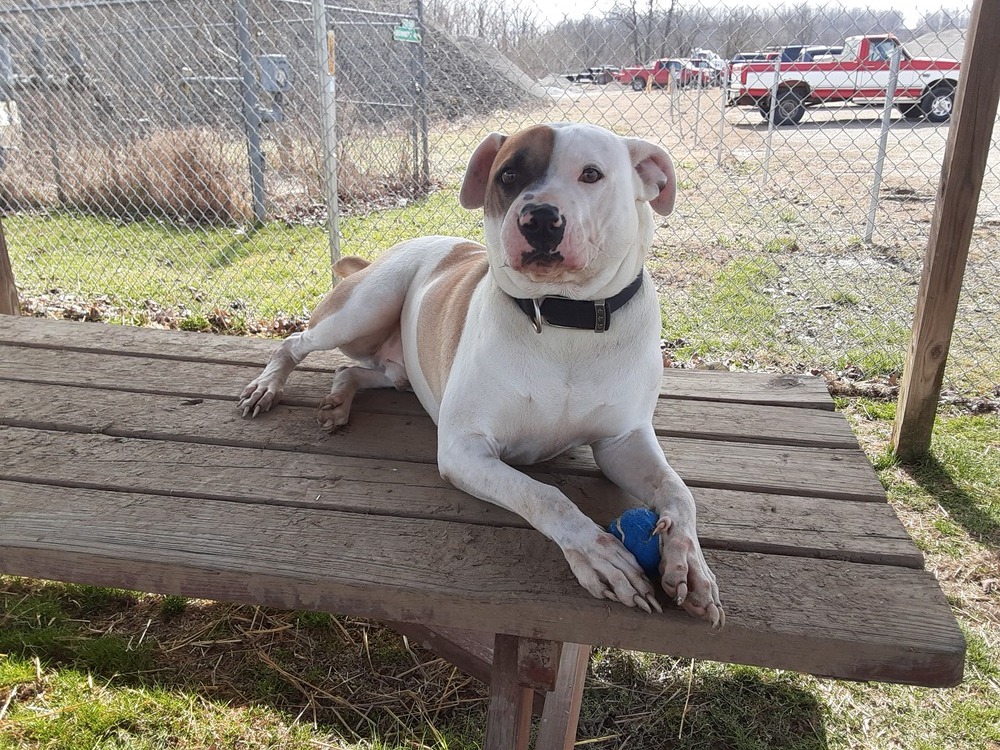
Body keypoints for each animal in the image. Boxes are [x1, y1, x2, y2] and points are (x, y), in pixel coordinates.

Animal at [238, 123, 724, 628]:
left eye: (591, 174)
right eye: (508, 175)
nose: (539, 218)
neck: (564, 321)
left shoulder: (623, 442)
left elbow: (678, 491)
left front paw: (689, 563)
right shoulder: (464, 449)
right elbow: (546, 495)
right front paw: (600, 557)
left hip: (393, 363)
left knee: (360, 370)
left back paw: (337, 401)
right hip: (363, 308)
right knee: (297, 342)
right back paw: (266, 387)